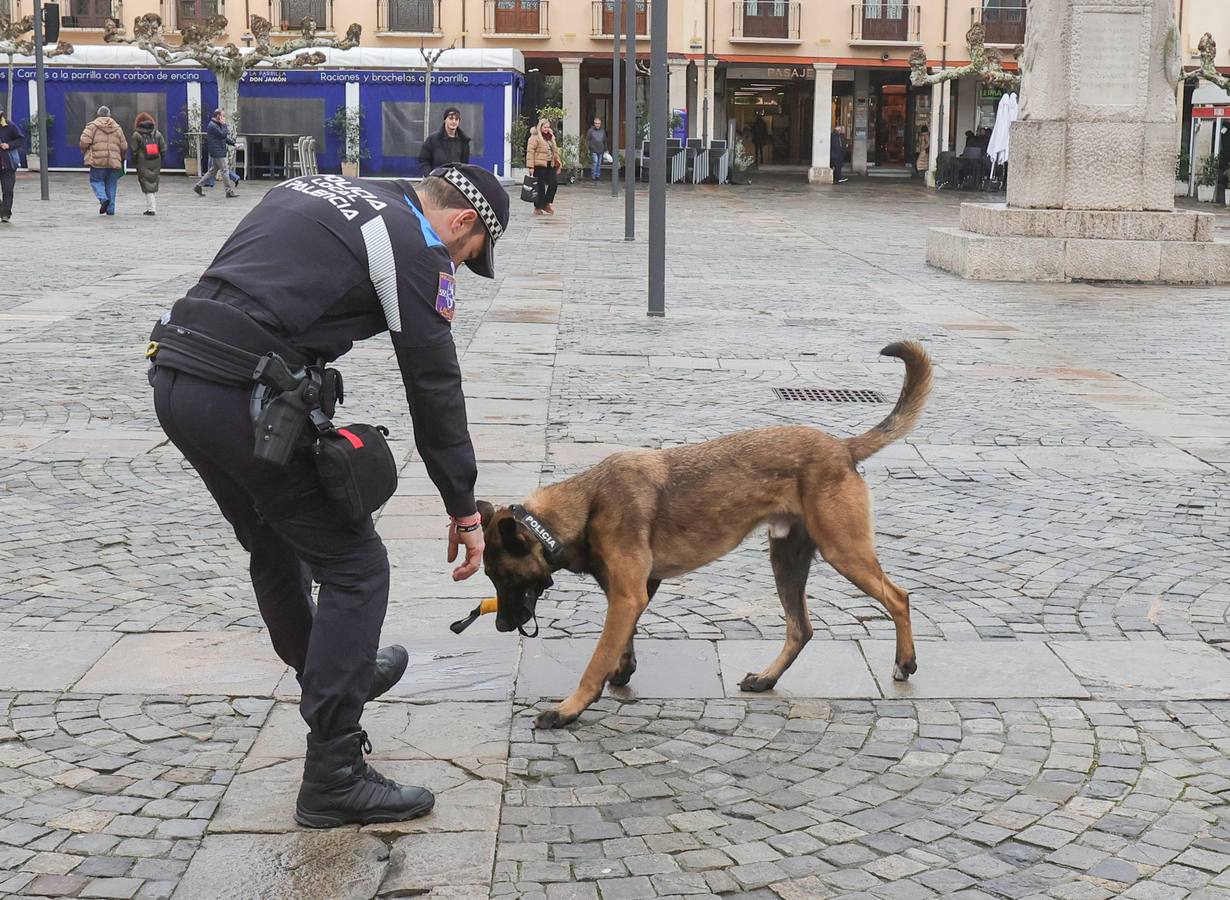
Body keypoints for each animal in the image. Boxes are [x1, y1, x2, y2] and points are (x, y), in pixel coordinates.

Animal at [477, 341, 929, 727]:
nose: (499, 627)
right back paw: (766, 678)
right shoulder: (636, 592)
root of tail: (842, 448)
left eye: (504, 577)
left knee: (898, 597)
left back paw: (905, 662)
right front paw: (621, 669)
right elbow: (622, 642)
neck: (587, 504)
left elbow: (596, 658)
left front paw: (569, 708)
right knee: (801, 628)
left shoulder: (627, 595)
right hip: (786, 559)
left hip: (842, 551)